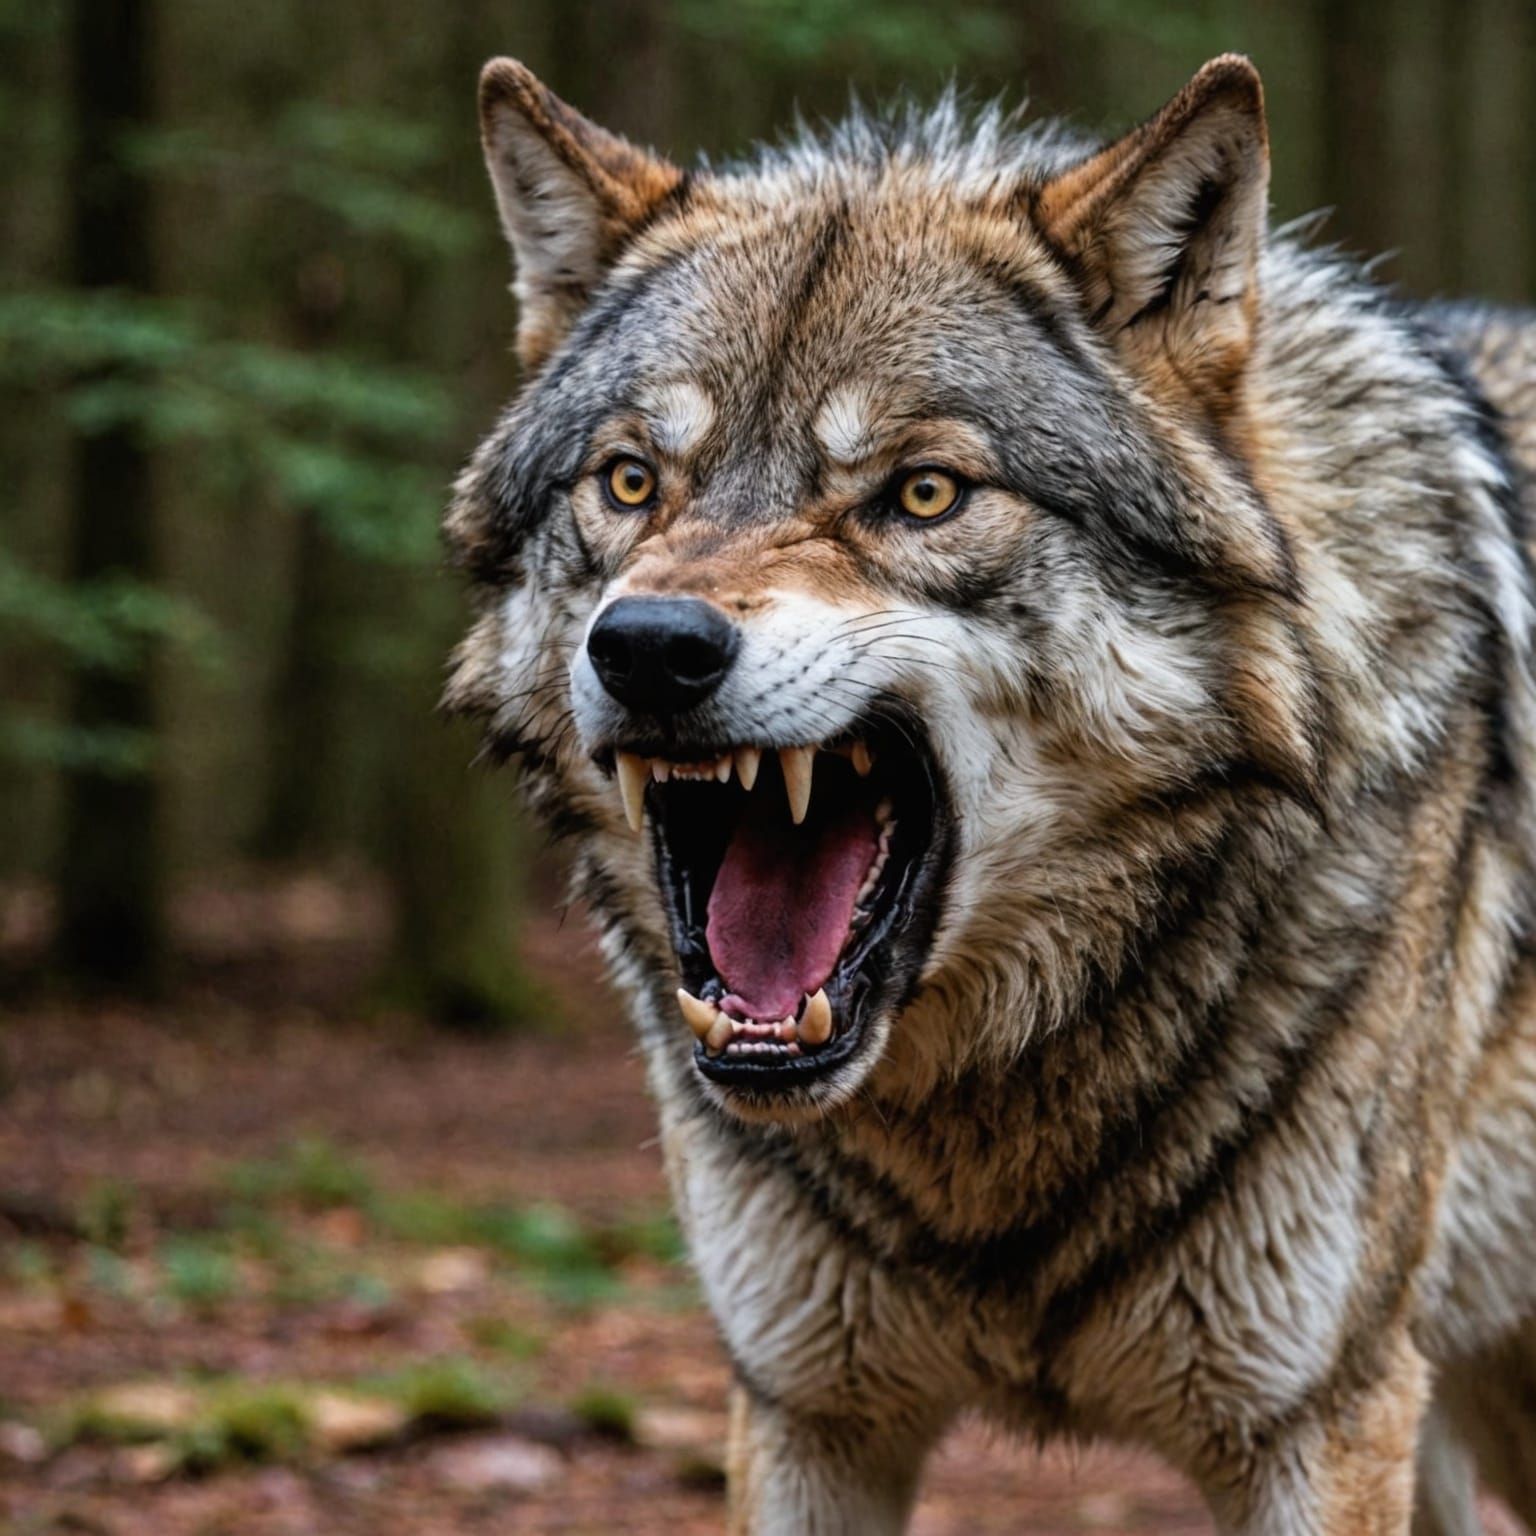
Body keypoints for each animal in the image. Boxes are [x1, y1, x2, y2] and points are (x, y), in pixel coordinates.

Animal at [445, 51, 1536, 1534]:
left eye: (921, 493)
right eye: (628, 482)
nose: (651, 646)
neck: (983, 1124)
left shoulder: (1322, 1422)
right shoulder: (806, 1413)